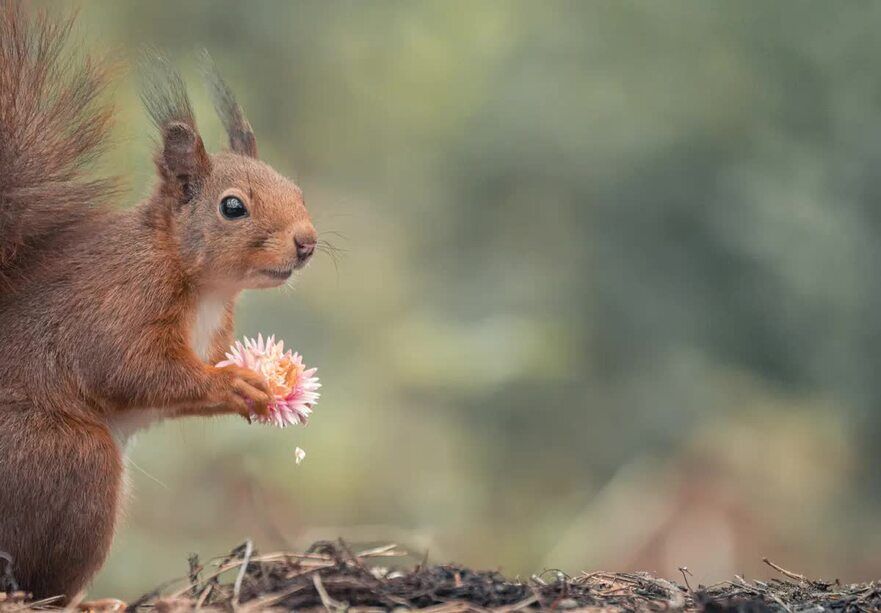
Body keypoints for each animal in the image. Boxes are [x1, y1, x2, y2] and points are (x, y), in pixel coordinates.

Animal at [0, 3, 316, 596]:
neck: (207, 287)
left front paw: (252, 389)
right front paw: (233, 384)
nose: (307, 242)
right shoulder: (117, 304)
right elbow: (131, 369)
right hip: (68, 462)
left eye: (296, 190)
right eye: (232, 207)